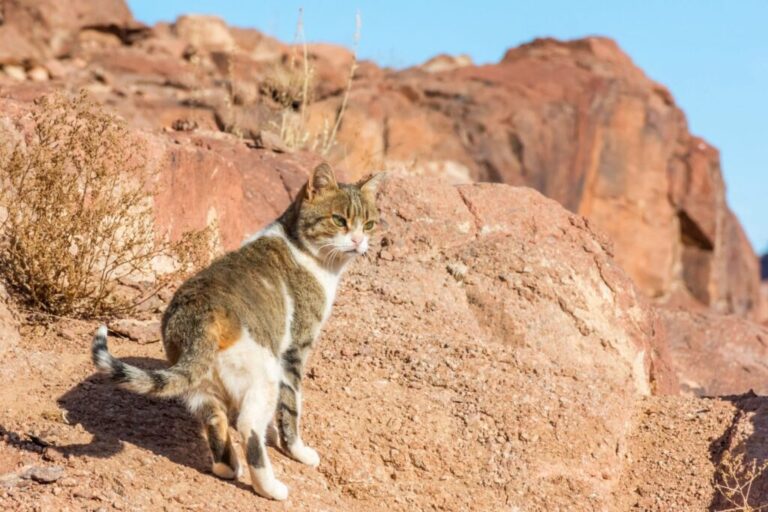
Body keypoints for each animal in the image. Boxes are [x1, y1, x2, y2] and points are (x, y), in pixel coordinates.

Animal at [91, 164, 384, 500]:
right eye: (339, 220)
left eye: (369, 223)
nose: (359, 241)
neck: (301, 248)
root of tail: (201, 315)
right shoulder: (295, 351)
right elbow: (291, 408)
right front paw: (297, 451)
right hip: (265, 372)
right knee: (248, 426)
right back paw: (270, 488)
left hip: (200, 385)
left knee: (214, 419)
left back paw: (227, 468)